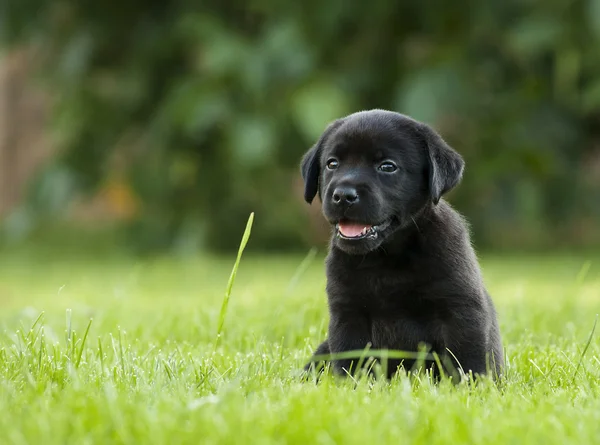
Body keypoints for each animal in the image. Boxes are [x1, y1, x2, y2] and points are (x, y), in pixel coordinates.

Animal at [300, 109, 502, 380]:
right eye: (332, 164)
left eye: (388, 167)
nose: (343, 195)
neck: (388, 256)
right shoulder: (348, 313)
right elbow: (350, 360)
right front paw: (349, 386)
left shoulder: (461, 309)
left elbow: (467, 360)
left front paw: (472, 387)